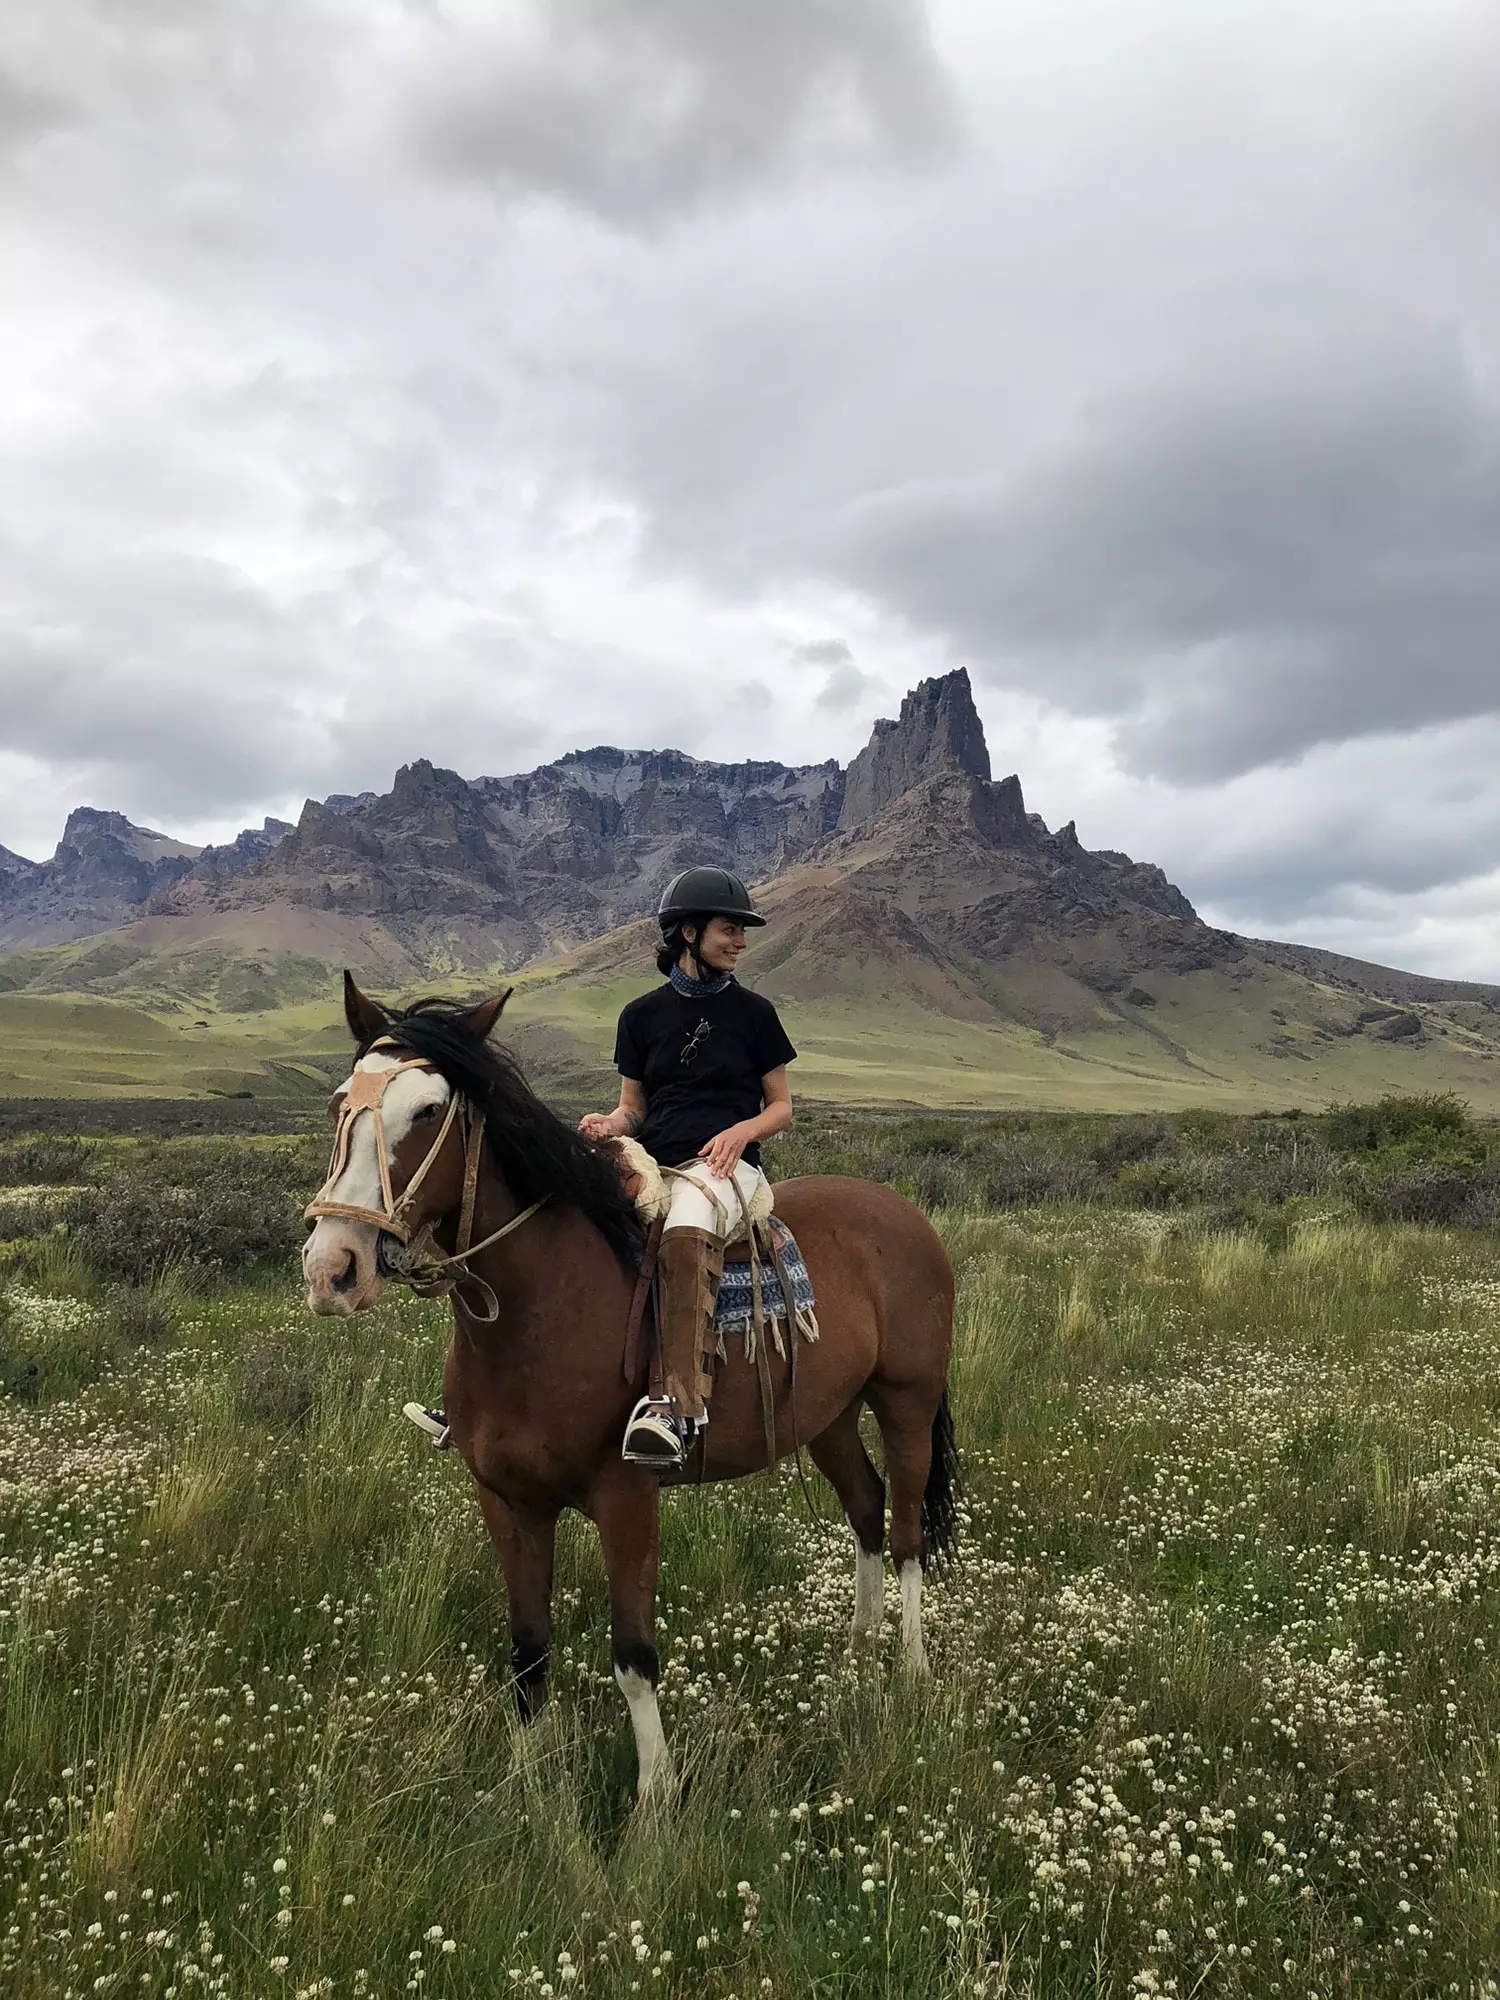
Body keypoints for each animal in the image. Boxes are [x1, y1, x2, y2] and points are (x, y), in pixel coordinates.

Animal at [302, 980, 964, 1800]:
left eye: (428, 1111)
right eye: (339, 1103)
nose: (334, 1267)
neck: (541, 1307)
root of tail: (903, 1212)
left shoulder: (627, 1500)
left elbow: (633, 1657)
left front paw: (656, 1797)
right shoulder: (509, 1502)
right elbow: (527, 1644)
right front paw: (526, 1780)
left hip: (905, 1401)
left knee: (906, 1530)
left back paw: (910, 1669)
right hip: (828, 1416)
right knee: (867, 1509)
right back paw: (857, 1651)